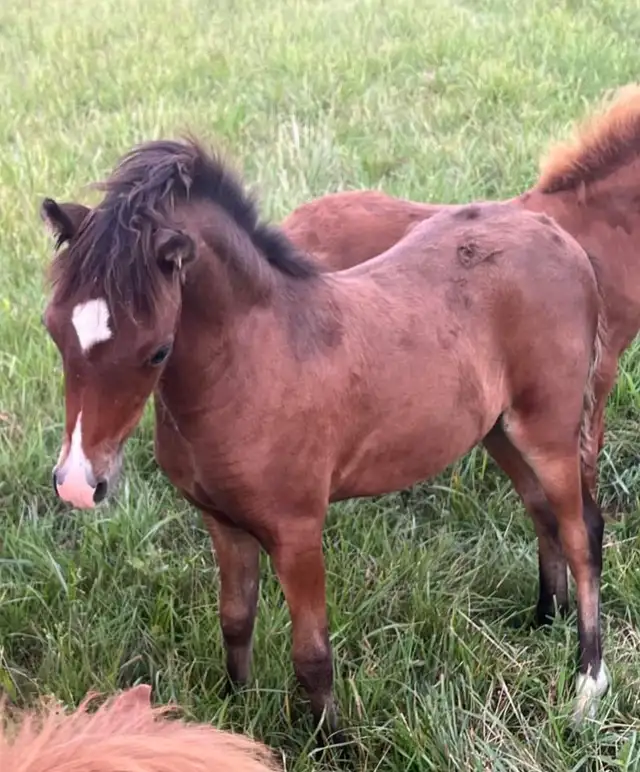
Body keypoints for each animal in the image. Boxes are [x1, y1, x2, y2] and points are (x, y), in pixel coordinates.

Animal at [40, 138, 606, 735]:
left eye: (156, 351)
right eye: (54, 329)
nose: (78, 483)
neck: (252, 363)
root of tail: (559, 236)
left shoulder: (298, 531)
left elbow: (311, 654)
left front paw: (333, 742)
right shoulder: (222, 521)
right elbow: (235, 619)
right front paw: (235, 716)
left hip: (548, 429)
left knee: (581, 531)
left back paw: (587, 682)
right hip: (500, 430)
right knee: (541, 513)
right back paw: (545, 620)